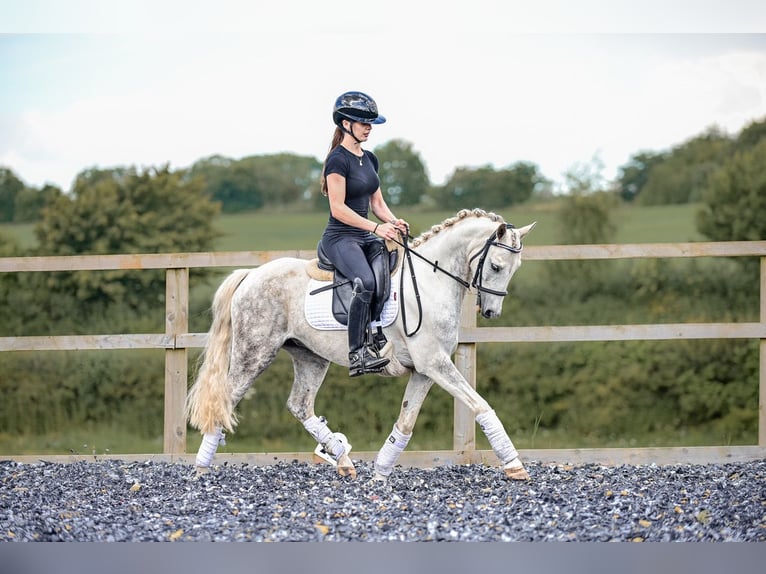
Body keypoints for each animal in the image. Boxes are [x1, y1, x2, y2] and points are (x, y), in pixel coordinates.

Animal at [186, 209, 536, 484]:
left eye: (515, 268)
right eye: (496, 266)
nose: (491, 313)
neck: (428, 283)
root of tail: (250, 275)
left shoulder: (425, 370)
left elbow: (405, 422)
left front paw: (381, 471)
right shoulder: (435, 364)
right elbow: (480, 405)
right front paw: (515, 465)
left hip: (310, 356)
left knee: (300, 405)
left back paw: (342, 459)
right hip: (254, 354)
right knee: (224, 400)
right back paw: (201, 469)